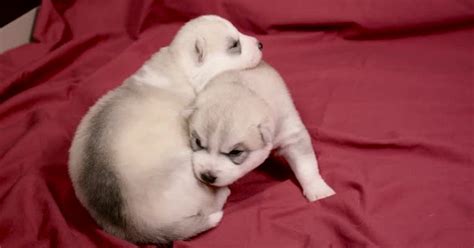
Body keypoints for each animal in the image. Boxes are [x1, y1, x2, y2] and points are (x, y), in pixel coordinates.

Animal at [68, 15, 262, 244]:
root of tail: (137, 227)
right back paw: (223, 193)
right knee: (211, 203)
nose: (261, 44)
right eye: (234, 45)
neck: (179, 65)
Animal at [187, 61, 336, 202]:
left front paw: (318, 190)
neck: (246, 88)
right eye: (198, 142)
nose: (207, 176)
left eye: (235, 152)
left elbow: (305, 164)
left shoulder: (291, 134)